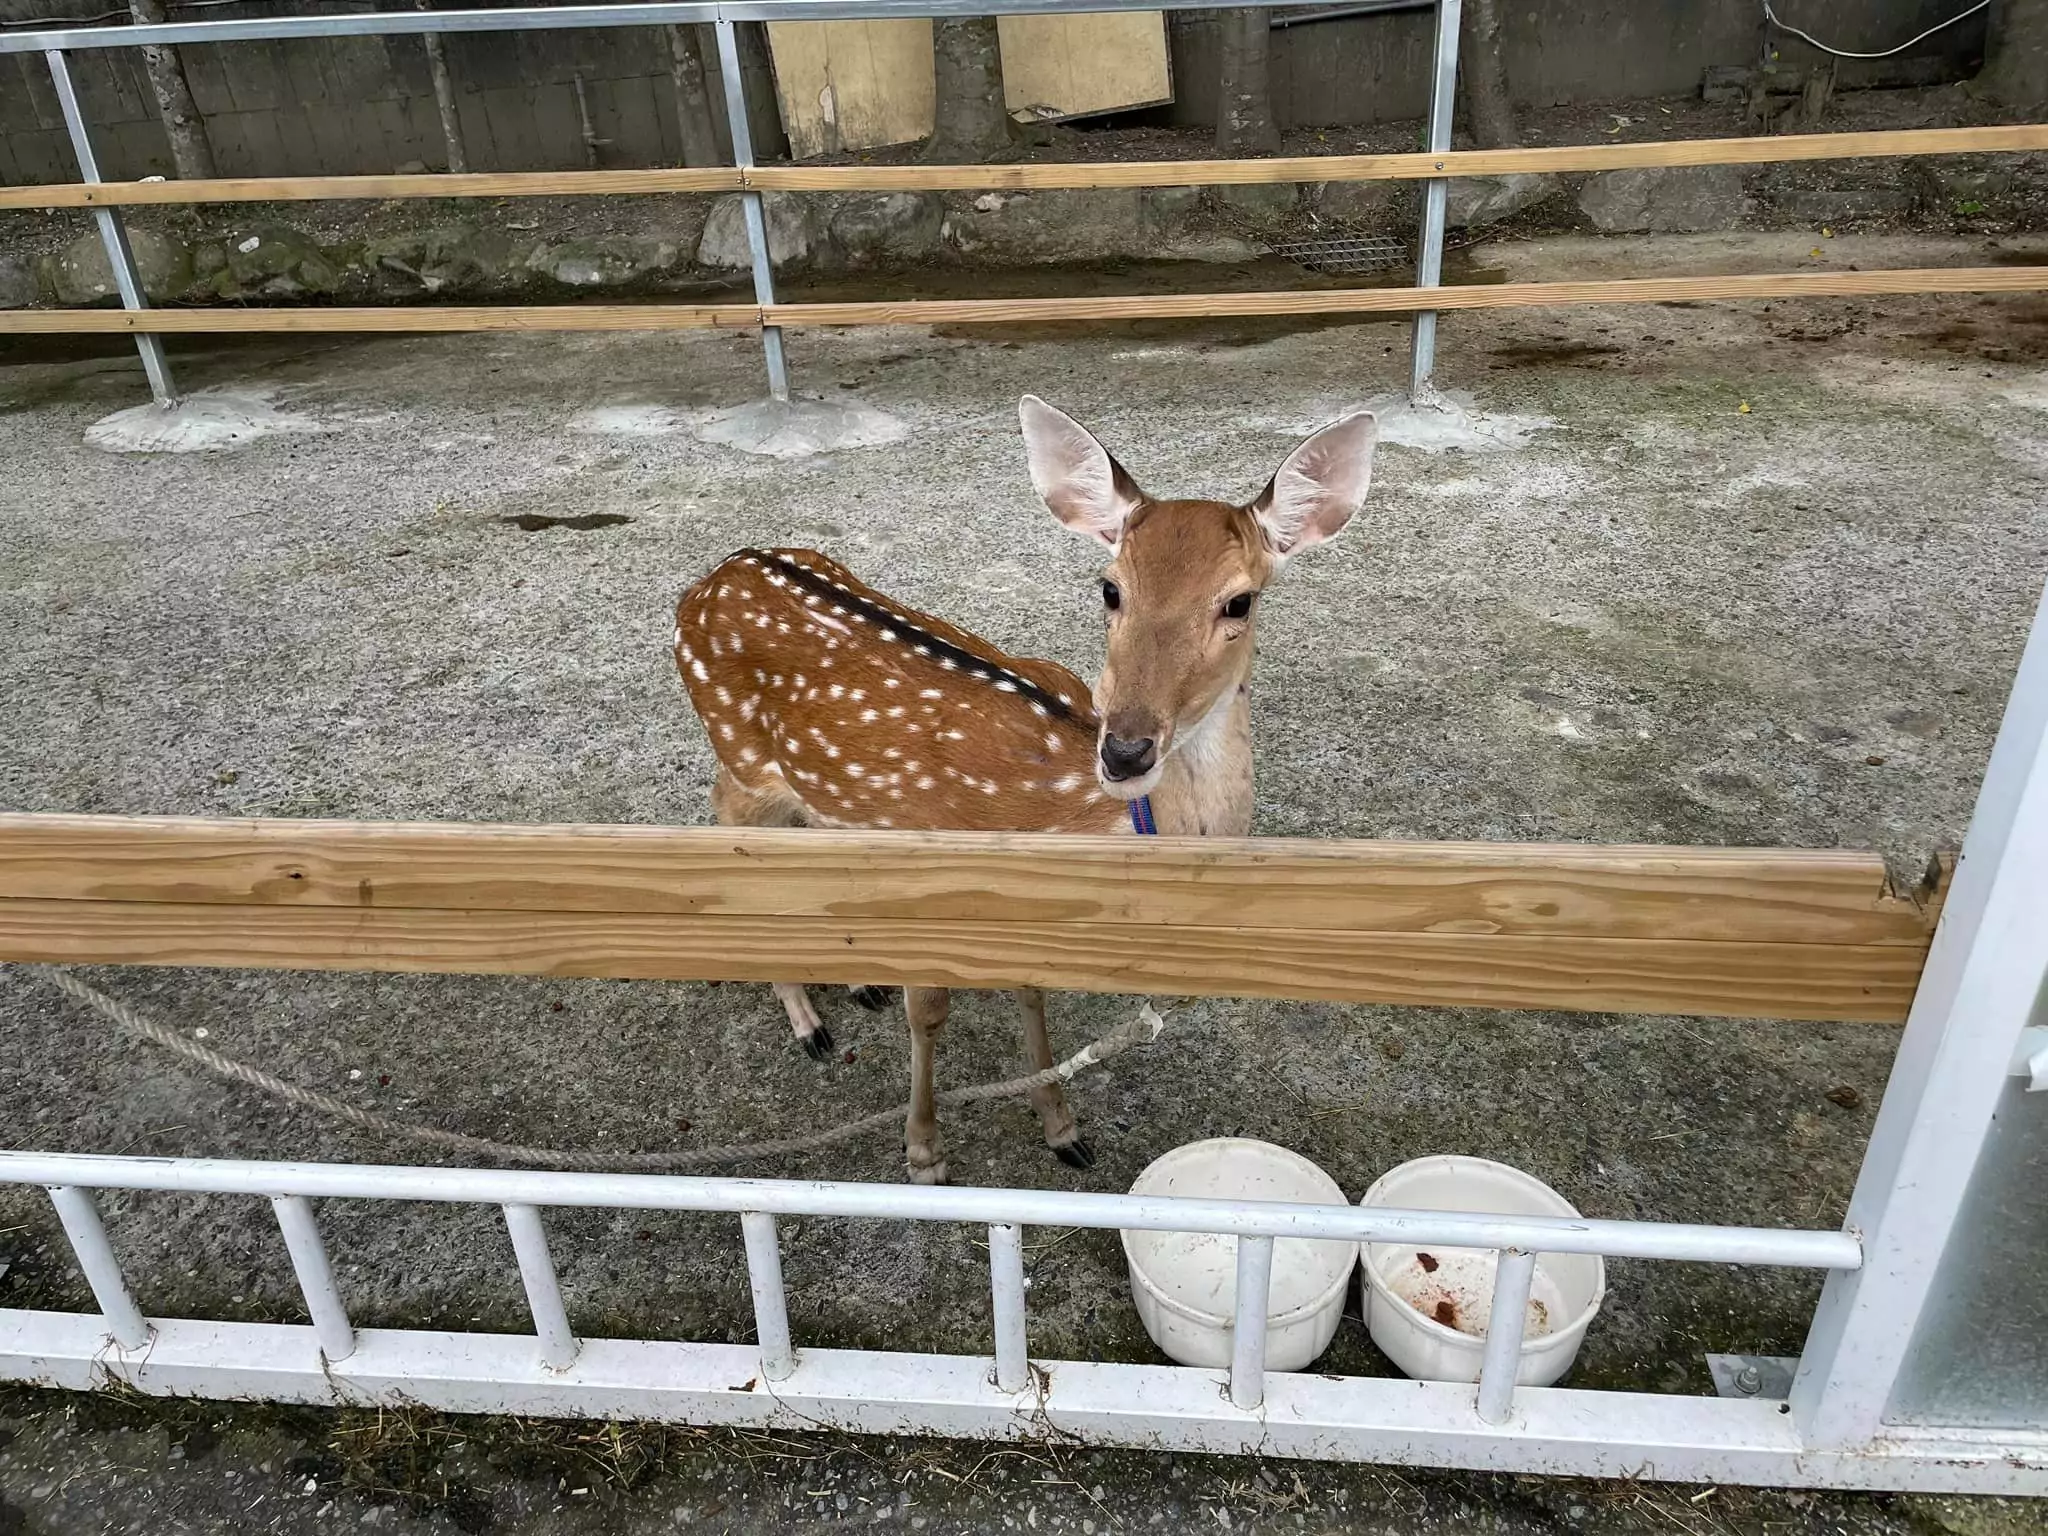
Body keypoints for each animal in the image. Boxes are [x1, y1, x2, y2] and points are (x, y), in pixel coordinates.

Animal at [673, 396, 1378, 1184]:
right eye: (1110, 587)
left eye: (1239, 602)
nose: (1126, 751)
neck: (1072, 810)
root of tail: (718, 572)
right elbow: (931, 1014)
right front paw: (924, 1153)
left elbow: (1030, 989)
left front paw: (1062, 1129)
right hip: (740, 754)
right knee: (725, 823)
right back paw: (808, 1021)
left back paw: (857, 980)